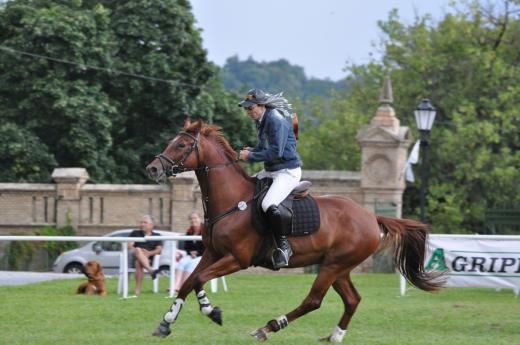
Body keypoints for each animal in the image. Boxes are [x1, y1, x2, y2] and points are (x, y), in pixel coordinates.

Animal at [145, 119, 442, 340]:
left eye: (181, 144)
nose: (152, 169)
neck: (231, 202)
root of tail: (370, 215)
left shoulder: (237, 259)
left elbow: (198, 279)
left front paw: (212, 312)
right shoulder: (213, 253)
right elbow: (189, 282)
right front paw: (166, 323)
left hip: (333, 265)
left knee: (314, 301)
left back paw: (268, 328)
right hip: (339, 267)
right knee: (352, 299)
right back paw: (334, 336)